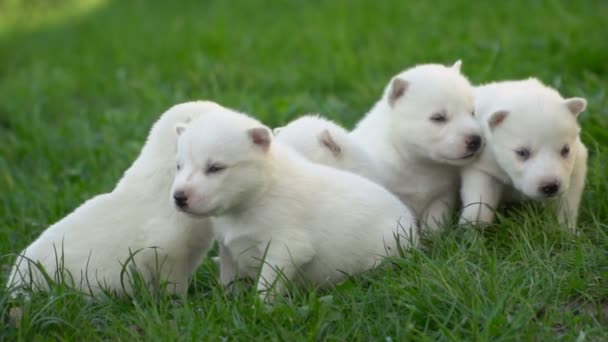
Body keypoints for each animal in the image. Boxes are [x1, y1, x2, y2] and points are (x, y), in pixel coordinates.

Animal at [169, 107, 418, 302]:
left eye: (215, 168)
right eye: (179, 166)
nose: (179, 197)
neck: (259, 195)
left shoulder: (284, 250)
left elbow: (267, 285)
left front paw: (259, 310)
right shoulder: (228, 247)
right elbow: (229, 277)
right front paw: (229, 300)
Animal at [350, 62, 482, 231]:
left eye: (473, 112)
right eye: (438, 118)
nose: (476, 140)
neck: (422, 165)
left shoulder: (442, 195)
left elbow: (434, 221)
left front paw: (432, 235)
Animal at [458, 79, 588, 231]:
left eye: (566, 150)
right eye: (522, 152)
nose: (550, 186)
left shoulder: (575, 165)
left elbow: (566, 202)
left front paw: (565, 229)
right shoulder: (484, 164)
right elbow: (480, 195)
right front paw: (473, 224)